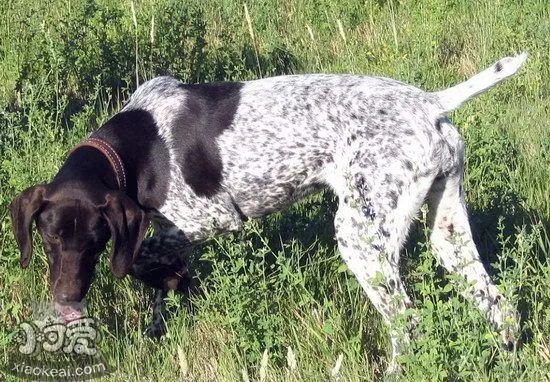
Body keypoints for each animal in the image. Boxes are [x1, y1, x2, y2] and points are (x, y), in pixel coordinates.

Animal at [10, 51, 528, 374]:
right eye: (49, 238)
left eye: (95, 239)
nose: (65, 299)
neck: (137, 146)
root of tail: (431, 103)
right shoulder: (169, 231)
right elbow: (156, 284)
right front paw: (161, 319)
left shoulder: (203, 221)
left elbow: (141, 261)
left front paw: (173, 282)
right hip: (448, 233)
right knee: (500, 307)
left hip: (360, 239)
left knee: (408, 323)